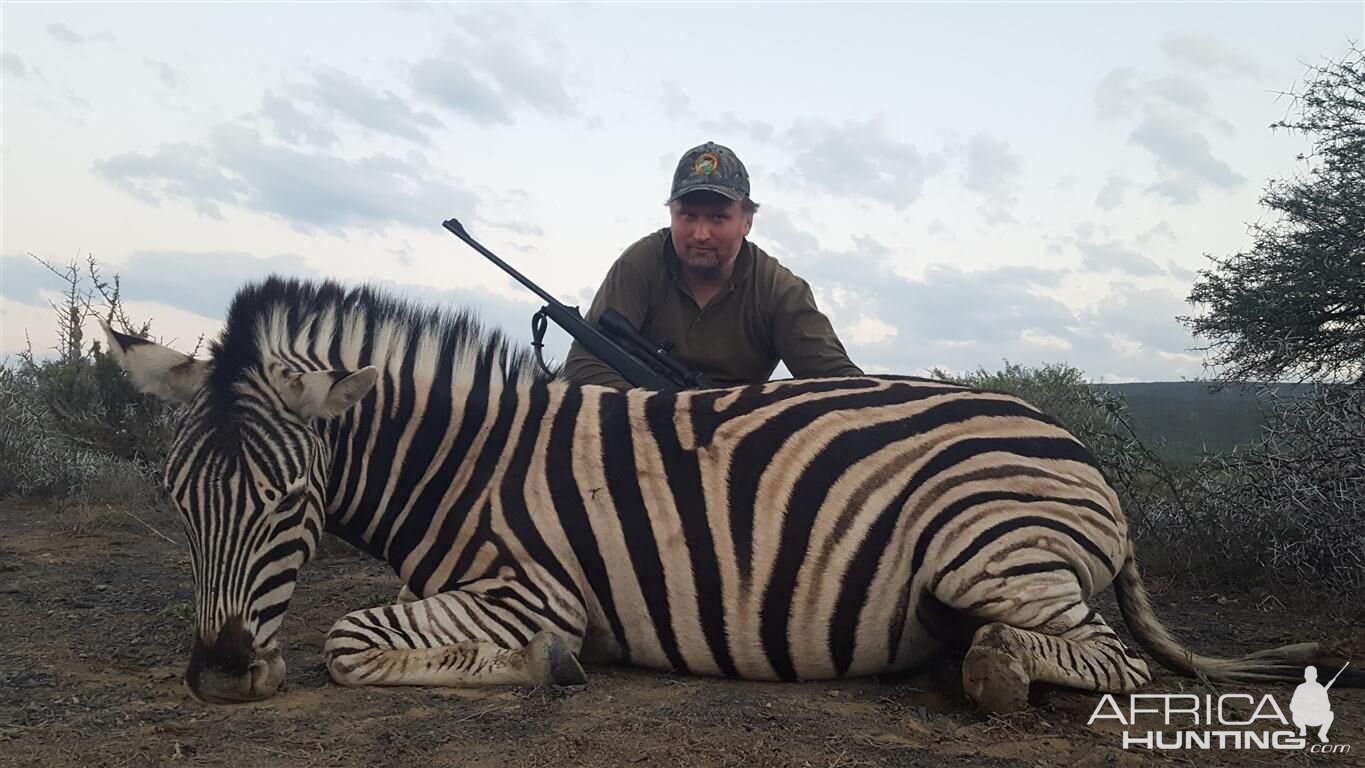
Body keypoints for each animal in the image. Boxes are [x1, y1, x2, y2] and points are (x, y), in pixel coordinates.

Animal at [98, 278, 1354, 714]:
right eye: (180, 499)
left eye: (288, 502)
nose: (217, 676)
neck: (467, 463)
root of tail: (1078, 448)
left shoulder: (534, 589)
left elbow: (351, 640)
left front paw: (551, 669)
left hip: (986, 546)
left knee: (1108, 660)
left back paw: (993, 673)